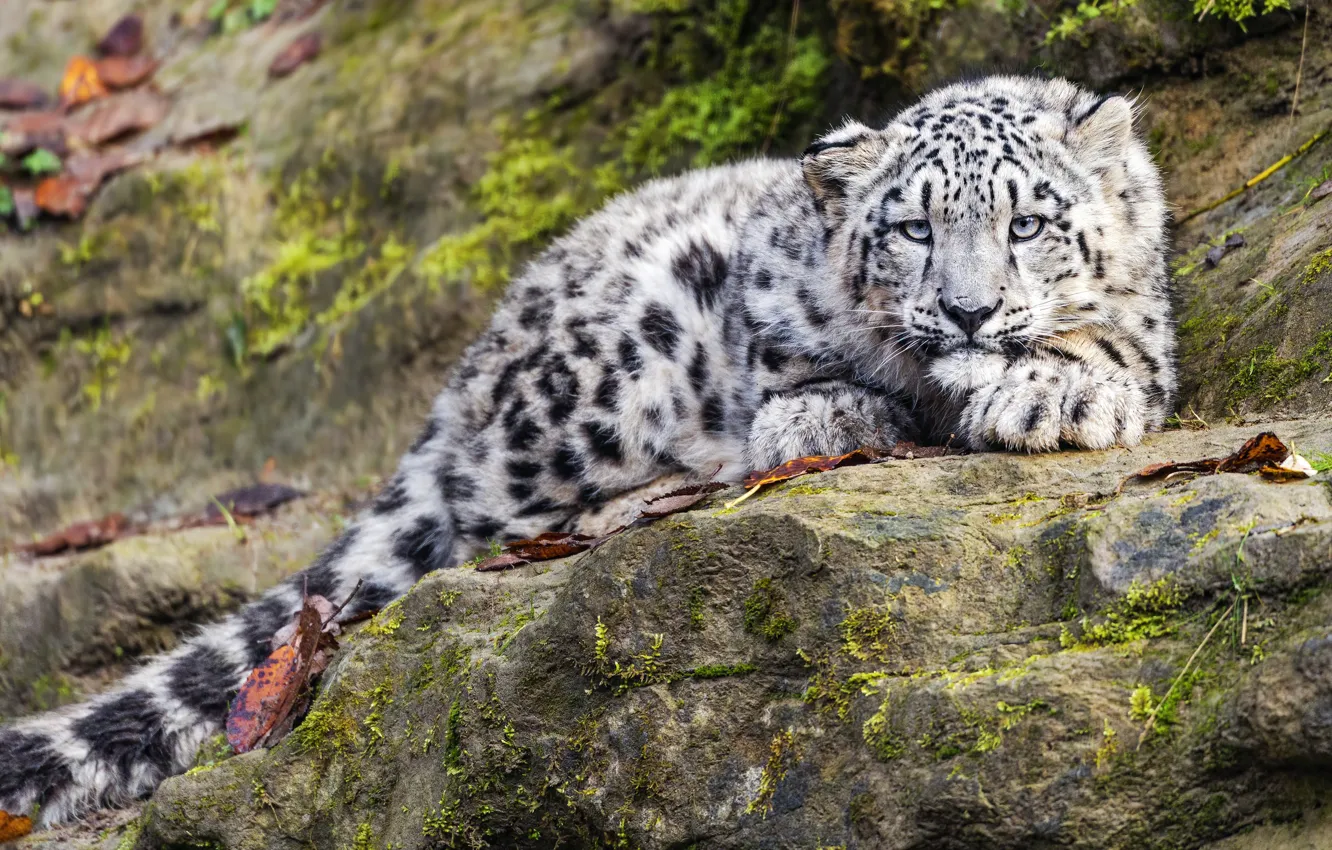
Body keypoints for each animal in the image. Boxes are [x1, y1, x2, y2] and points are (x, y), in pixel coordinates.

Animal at [0, 73, 1173, 826]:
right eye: (914, 229)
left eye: (1028, 223)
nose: (969, 312)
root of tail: (466, 370)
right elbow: (800, 369)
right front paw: (835, 408)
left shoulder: (1147, 328)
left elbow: (1121, 350)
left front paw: (1048, 387)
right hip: (596, 378)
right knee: (484, 503)